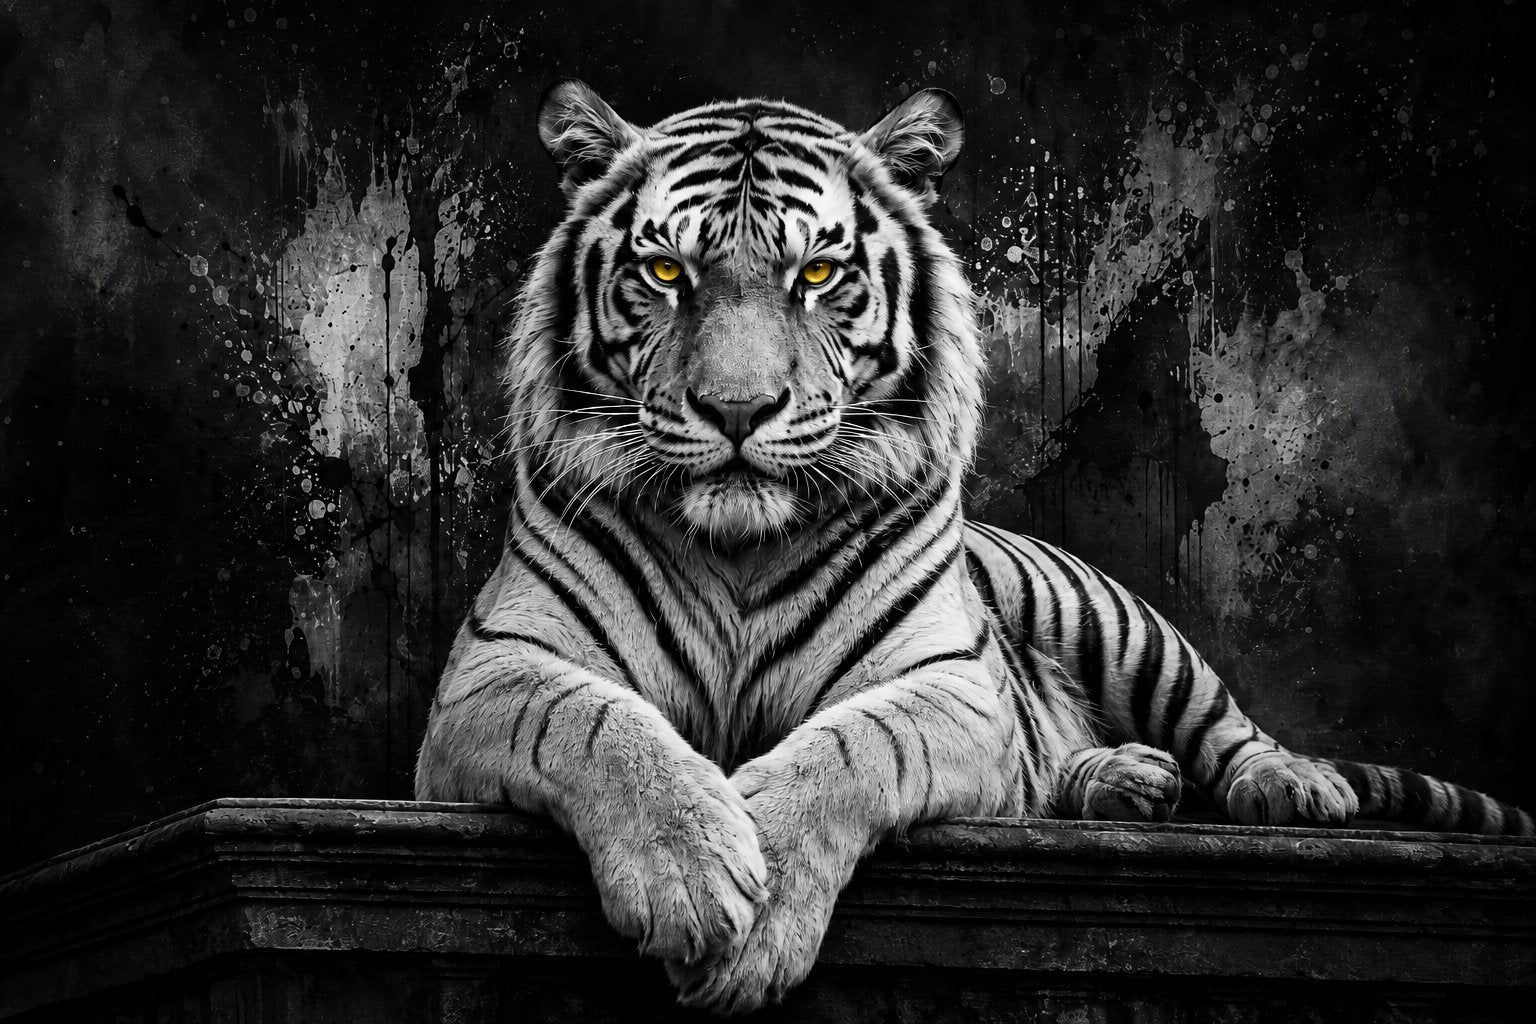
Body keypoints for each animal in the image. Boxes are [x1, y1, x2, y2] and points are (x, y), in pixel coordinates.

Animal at [414, 80, 1534, 1014]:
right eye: (664, 271)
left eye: (817, 274)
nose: (737, 410)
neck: (739, 547)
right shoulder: (494, 670)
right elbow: (599, 726)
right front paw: (692, 874)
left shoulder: (949, 683)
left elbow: (856, 745)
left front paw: (760, 912)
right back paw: (1125, 780)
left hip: (1127, 628)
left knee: (1226, 727)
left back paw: (1286, 786)